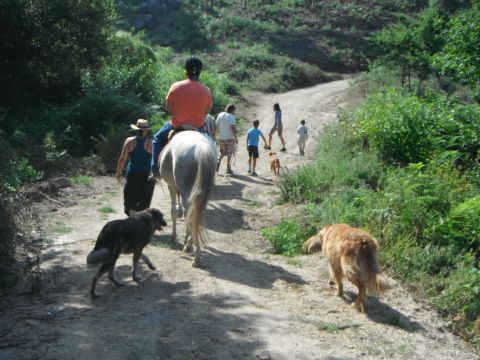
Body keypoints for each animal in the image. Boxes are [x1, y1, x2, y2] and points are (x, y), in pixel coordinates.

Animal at [159, 131, 216, 266]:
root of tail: (201, 146)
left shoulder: (172, 186)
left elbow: (173, 212)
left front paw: (173, 237)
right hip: (202, 193)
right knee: (196, 214)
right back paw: (192, 248)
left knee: (189, 213)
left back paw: (194, 254)